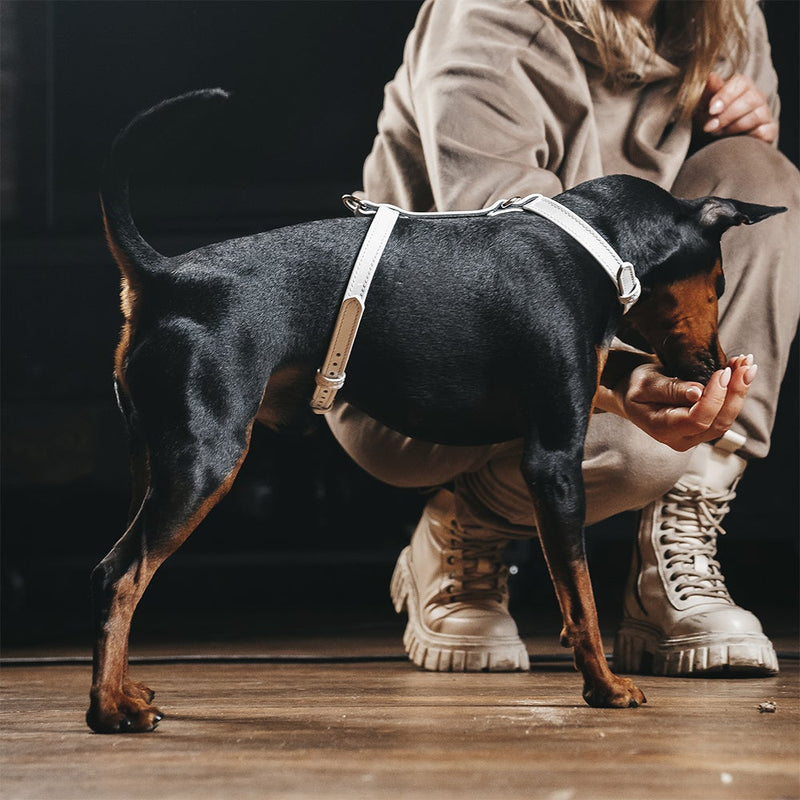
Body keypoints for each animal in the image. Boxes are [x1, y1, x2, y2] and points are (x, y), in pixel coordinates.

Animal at [86, 90, 780, 736]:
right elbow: (579, 591)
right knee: (118, 574)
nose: (716, 362)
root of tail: (165, 276)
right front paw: (605, 686)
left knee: (124, 573)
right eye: (719, 283)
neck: (594, 245)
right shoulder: (554, 459)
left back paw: (125, 689)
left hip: (155, 458)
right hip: (205, 461)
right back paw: (110, 709)